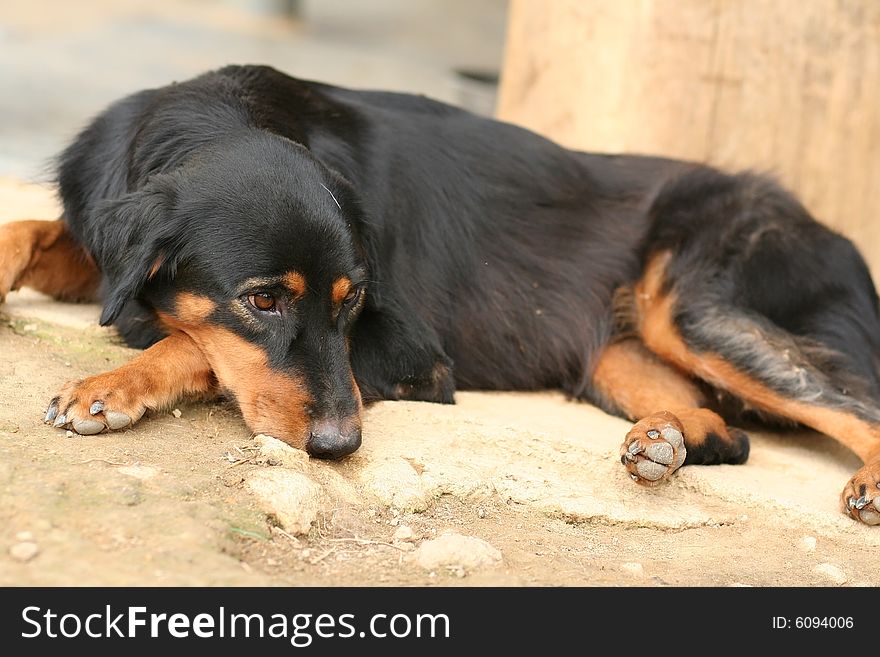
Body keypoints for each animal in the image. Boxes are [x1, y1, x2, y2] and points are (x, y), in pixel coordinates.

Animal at [1, 62, 880, 524]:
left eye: (353, 303)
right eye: (263, 302)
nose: (339, 447)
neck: (217, 117)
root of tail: (828, 229)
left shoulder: (410, 358)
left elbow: (188, 341)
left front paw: (111, 384)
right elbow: (30, 230)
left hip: (695, 305)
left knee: (850, 404)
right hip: (613, 354)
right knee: (728, 432)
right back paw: (665, 439)